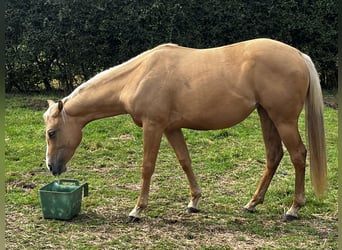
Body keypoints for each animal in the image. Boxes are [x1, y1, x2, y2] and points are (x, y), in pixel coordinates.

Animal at [44, 38, 328, 222]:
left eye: (51, 133)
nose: (51, 167)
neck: (139, 75)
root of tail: (298, 55)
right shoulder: (171, 129)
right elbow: (185, 161)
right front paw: (194, 202)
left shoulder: (153, 126)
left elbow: (147, 167)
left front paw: (137, 210)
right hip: (266, 115)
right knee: (273, 156)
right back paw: (252, 204)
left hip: (283, 120)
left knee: (298, 155)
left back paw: (293, 209)